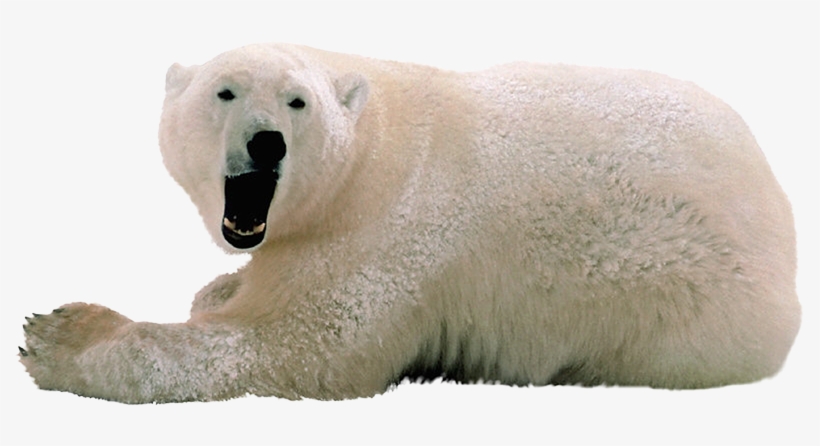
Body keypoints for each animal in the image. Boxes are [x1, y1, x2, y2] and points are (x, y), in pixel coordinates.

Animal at [20, 43, 801, 403]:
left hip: (686, 299)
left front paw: (57, 336)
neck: (370, 148)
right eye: (225, 91)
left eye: (297, 101)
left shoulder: (386, 227)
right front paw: (221, 287)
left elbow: (301, 344)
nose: (267, 141)